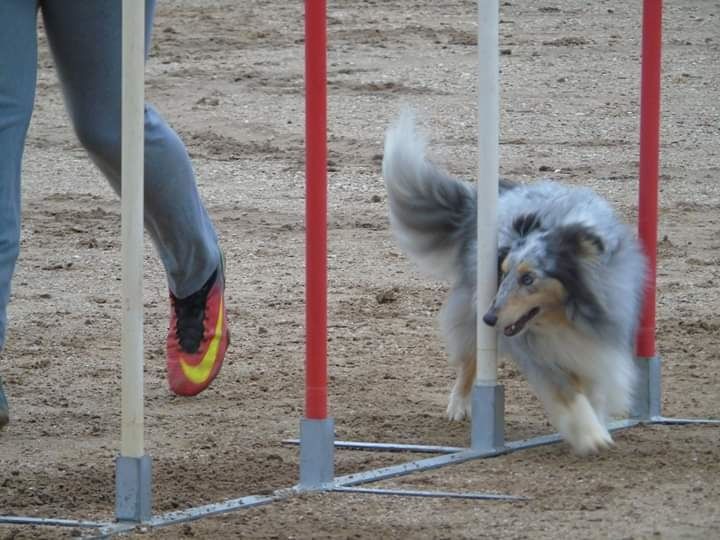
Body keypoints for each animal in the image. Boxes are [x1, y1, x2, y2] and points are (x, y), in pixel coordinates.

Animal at [382, 108, 648, 452]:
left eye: (529, 278)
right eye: (504, 272)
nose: (490, 318)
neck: (567, 316)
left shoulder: (599, 338)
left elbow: (593, 388)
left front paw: (597, 422)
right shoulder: (536, 351)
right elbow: (568, 391)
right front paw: (590, 435)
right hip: (471, 309)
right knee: (469, 359)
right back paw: (459, 405)